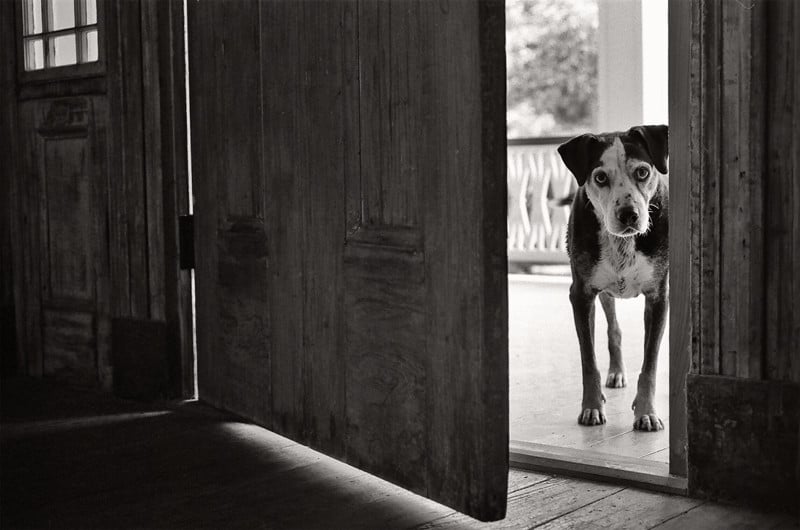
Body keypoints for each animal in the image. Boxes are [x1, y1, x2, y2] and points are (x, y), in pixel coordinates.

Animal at [556, 126, 668, 432]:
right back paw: (616, 373)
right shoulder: (581, 295)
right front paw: (592, 407)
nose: (629, 215)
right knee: (613, 329)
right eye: (600, 177)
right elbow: (588, 360)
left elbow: (650, 363)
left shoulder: (658, 297)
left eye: (642, 172)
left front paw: (647, 412)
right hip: (601, 293)